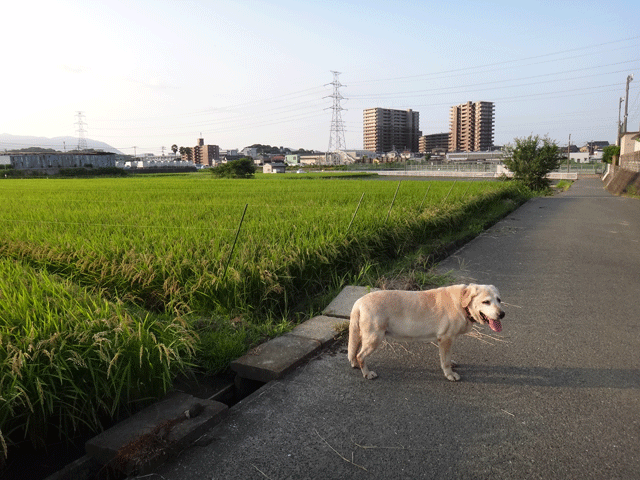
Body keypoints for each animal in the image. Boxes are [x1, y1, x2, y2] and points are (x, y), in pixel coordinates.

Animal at [348, 284, 502, 380]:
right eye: (486, 302)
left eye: (499, 300)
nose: (502, 314)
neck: (461, 304)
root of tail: (359, 302)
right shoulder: (445, 338)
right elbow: (445, 360)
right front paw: (449, 374)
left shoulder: (448, 340)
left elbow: (447, 357)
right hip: (374, 337)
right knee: (361, 355)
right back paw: (367, 373)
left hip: (362, 334)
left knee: (354, 351)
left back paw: (355, 364)